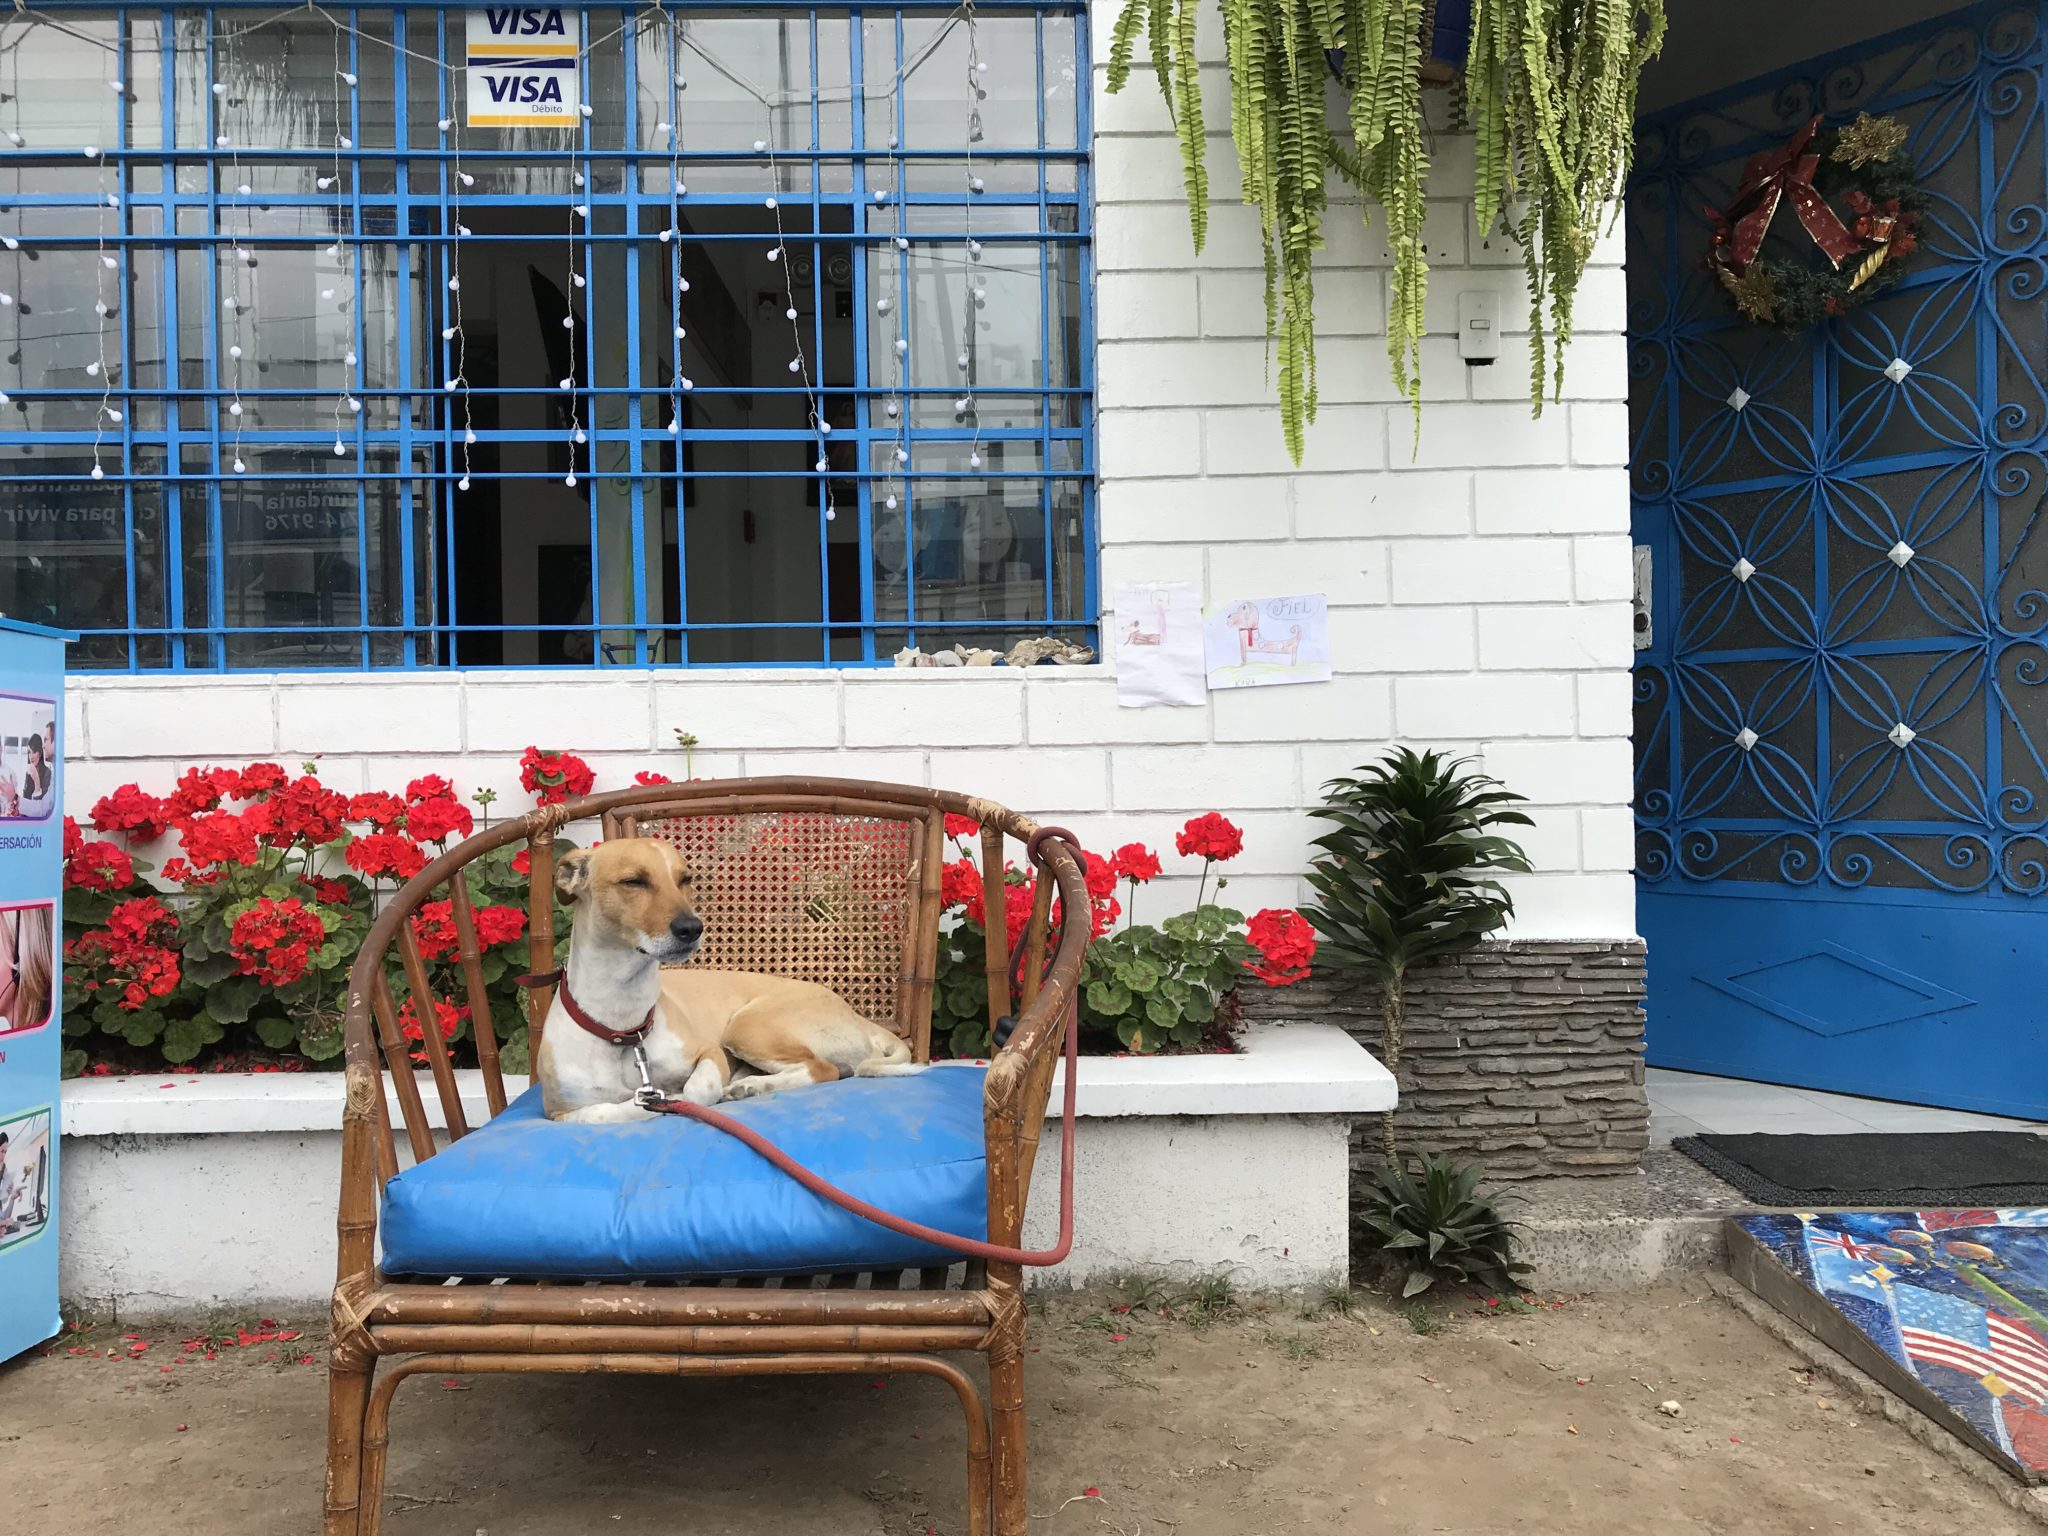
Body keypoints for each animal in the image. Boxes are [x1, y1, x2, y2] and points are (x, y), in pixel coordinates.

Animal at [536, 835, 921, 1122]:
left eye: (685, 879)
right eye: (633, 881)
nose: (693, 928)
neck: (624, 1027)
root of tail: (857, 1016)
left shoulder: (708, 1053)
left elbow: (695, 1091)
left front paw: (677, 1097)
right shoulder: (559, 1112)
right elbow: (605, 1111)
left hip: (748, 1026)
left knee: (824, 1069)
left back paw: (750, 1086)